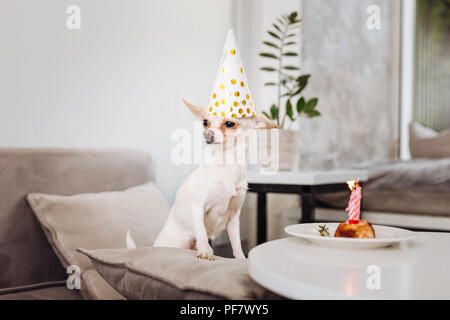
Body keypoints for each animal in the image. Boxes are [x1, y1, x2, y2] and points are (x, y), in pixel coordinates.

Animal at [155, 100, 278, 260]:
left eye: (230, 124)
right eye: (205, 122)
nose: (207, 134)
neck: (227, 163)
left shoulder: (234, 217)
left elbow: (236, 243)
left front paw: (241, 259)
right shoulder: (198, 206)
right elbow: (201, 232)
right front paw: (204, 251)